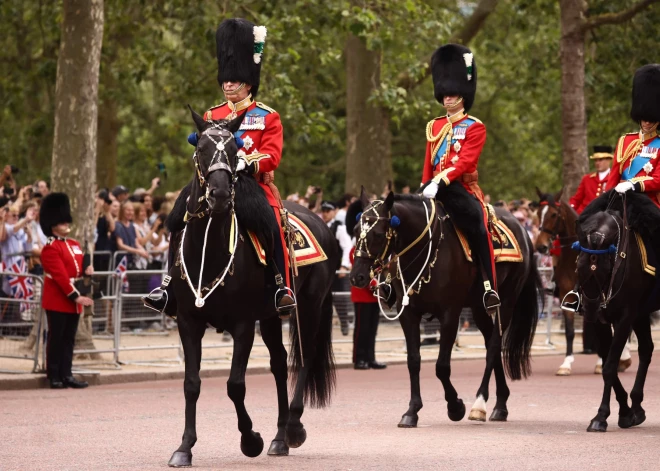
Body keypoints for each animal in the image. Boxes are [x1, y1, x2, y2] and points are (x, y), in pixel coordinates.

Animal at [165, 109, 340, 466]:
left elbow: (235, 385)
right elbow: (191, 383)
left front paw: (250, 439)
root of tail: (320, 221)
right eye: (201, 148)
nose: (219, 195)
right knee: (279, 364)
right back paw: (279, 437)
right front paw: (185, 447)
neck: (209, 250)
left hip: (308, 307)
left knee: (303, 359)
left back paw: (293, 427)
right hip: (271, 316)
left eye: (234, 151)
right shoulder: (189, 322)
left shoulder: (243, 324)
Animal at [348, 191, 540, 428]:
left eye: (376, 234)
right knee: (490, 346)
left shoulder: (450, 314)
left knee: (495, 346)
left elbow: (441, 366)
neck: (425, 252)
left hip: (506, 302)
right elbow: (413, 361)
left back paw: (479, 404)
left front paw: (455, 406)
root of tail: (521, 228)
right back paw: (500, 405)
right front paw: (412, 411)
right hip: (478, 308)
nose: (357, 277)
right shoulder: (408, 314)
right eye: (355, 231)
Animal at [576, 191, 656, 432]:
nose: (590, 310)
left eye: (605, 268)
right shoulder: (603, 321)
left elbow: (610, 366)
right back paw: (637, 405)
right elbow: (607, 364)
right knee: (646, 349)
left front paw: (601, 416)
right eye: (578, 266)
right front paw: (626, 412)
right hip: (641, 314)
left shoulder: (624, 318)